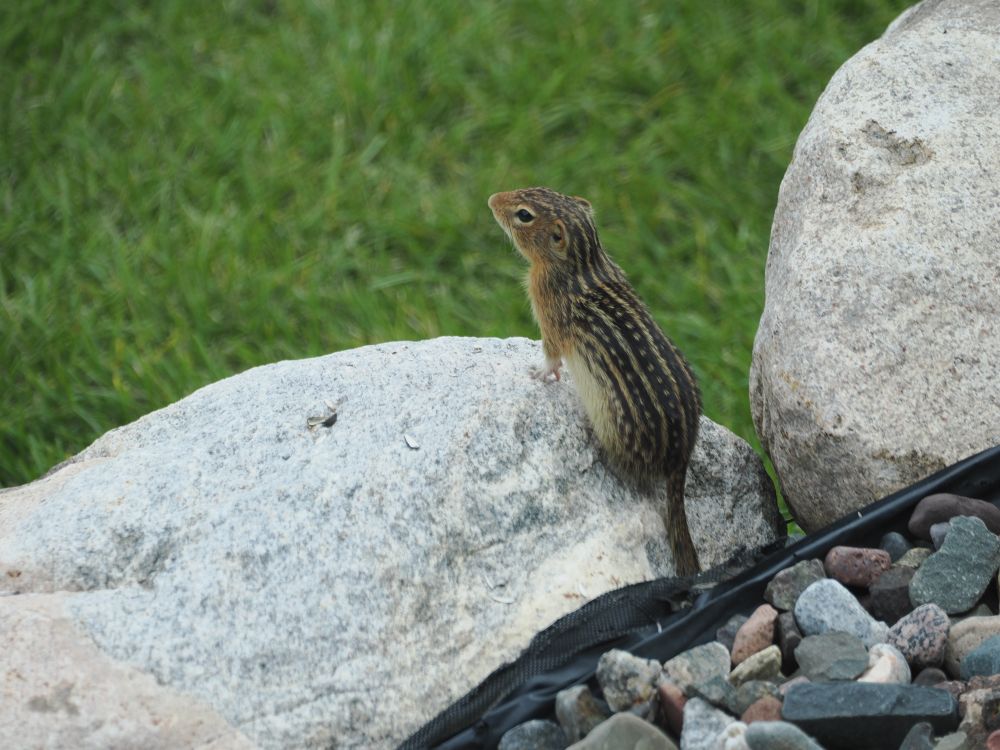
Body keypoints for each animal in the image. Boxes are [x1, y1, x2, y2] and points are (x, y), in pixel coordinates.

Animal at [488, 186, 703, 576]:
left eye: (524, 214)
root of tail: (682, 455)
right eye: (539, 189)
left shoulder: (550, 317)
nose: (492, 199)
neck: (584, 261)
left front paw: (540, 373)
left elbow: (551, 353)